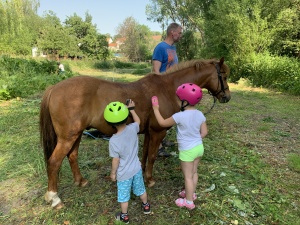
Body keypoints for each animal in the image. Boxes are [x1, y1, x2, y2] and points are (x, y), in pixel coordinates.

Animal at [39, 57, 232, 208]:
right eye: (223, 75)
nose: (227, 97)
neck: (167, 88)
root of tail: (54, 88)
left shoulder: (148, 132)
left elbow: (145, 154)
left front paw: (143, 174)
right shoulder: (157, 132)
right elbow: (152, 156)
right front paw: (150, 179)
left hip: (76, 135)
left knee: (72, 156)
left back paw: (80, 181)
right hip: (67, 138)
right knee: (54, 162)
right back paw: (54, 198)